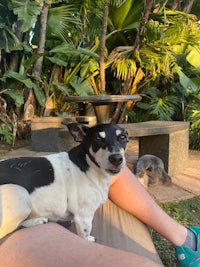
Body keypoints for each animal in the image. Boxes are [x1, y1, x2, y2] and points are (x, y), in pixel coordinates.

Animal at [0, 124, 128, 243]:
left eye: (123, 137)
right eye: (98, 139)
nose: (116, 158)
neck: (88, 164)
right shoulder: (83, 217)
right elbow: (85, 235)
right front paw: (88, 240)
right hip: (19, 193)